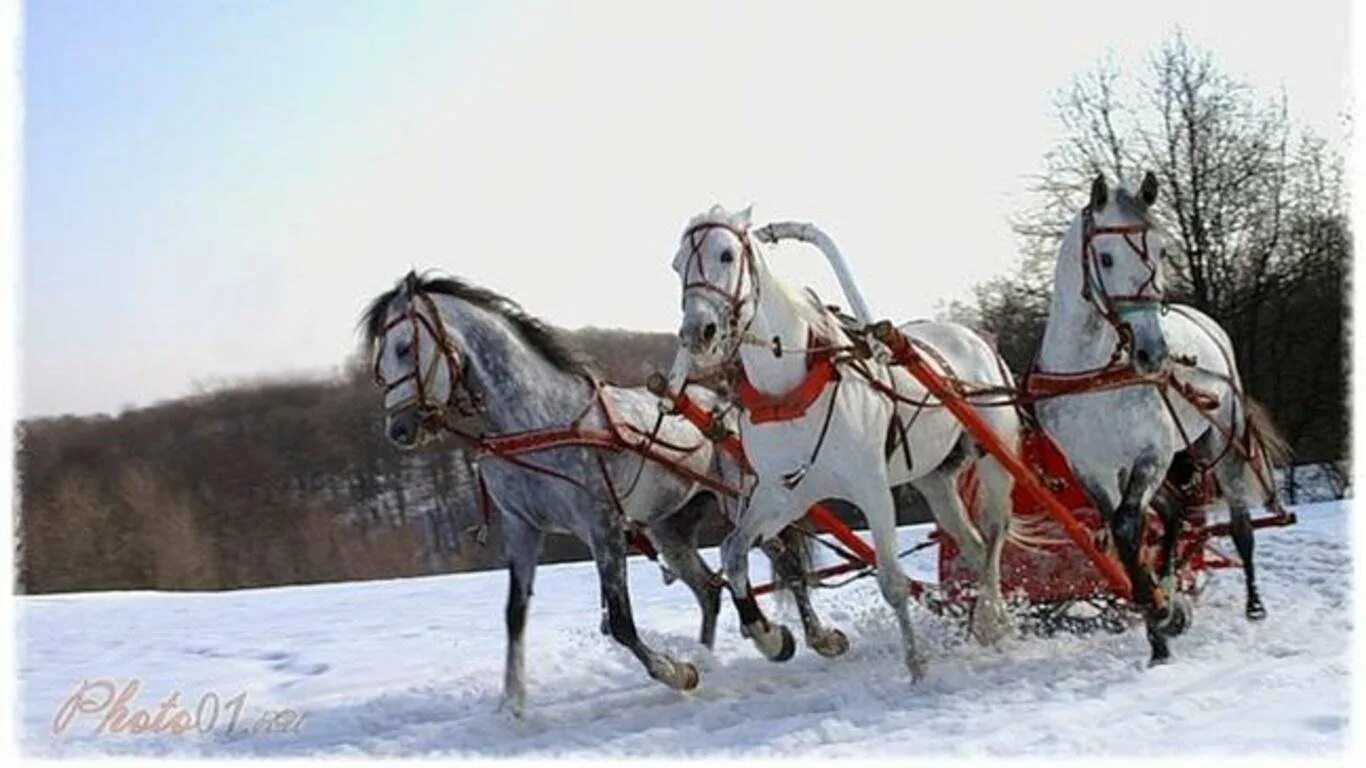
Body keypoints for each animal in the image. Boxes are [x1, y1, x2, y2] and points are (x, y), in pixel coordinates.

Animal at [363, 269, 841, 710]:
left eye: (404, 347)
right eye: (379, 364)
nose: (399, 429)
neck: (538, 421)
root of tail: (724, 403)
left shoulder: (602, 523)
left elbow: (621, 621)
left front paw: (675, 671)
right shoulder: (522, 526)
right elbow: (515, 614)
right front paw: (512, 702)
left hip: (739, 501)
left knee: (783, 562)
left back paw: (805, 638)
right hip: (670, 529)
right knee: (709, 587)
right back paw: (709, 659)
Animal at [666, 203, 1027, 675]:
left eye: (726, 254)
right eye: (677, 266)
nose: (698, 332)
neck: (788, 392)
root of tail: (973, 336)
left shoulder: (871, 487)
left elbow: (892, 580)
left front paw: (916, 665)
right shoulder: (784, 493)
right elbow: (734, 552)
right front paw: (770, 637)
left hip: (994, 456)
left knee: (995, 531)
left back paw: (988, 614)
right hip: (934, 477)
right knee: (973, 543)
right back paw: (988, 622)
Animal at [1032, 172, 1289, 658]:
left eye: (1162, 251)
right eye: (1106, 257)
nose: (1153, 353)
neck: (1094, 375)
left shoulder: (1150, 452)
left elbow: (1128, 527)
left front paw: (1161, 612)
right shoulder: (1091, 468)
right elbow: (1121, 533)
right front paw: (1159, 617)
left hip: (1218, 442)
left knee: (1240, 524)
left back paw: (1253, 604)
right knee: (1173, 511)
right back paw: (1168, 590)